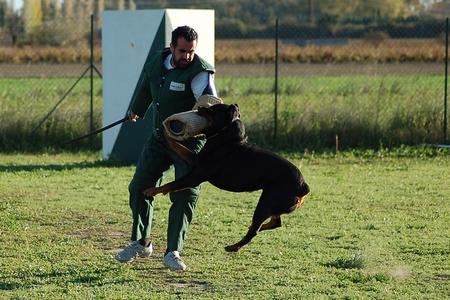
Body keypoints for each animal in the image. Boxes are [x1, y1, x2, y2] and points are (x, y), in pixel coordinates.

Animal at [144, 104, 310, 252]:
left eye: (211, 109)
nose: (200, 107)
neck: (224, 136)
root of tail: (303, 187)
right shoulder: (194, 160)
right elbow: (178, 146)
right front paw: (166, 135)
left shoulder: (195, 175)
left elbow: (171, 184)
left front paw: (150, 191)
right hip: (272, 202)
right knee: (275, 222)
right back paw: (258, 228)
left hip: (266, 203)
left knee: (255, 231)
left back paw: (234, 247)